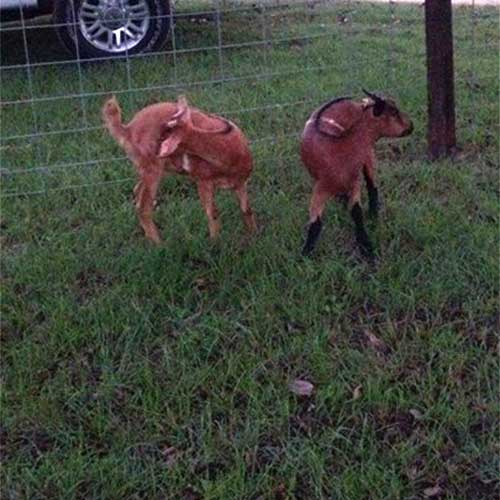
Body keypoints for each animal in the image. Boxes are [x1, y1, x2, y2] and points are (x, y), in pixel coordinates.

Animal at [103, 95, 256, 244]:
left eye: (164, 134)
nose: (154, 148)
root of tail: (127, 130)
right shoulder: (203, 180)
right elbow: (212, 213)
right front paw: (215, 242)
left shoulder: (241, 182)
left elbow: (246, 209)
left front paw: (253, 235)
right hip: (151, 168)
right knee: (143, 206)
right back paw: (159, 244)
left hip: (148, 168)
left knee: (137, 190)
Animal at [298, 89, 412, 258]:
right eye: (393, 112)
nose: (411, 126)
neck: (340, 149)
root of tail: (356, 103)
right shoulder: (320, 189)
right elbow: (315, 224)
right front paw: (305, 254)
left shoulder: (354, 183)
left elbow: (357, 213)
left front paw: (366, 247)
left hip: (368, 154)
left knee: (372, 186)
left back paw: (373, 216)